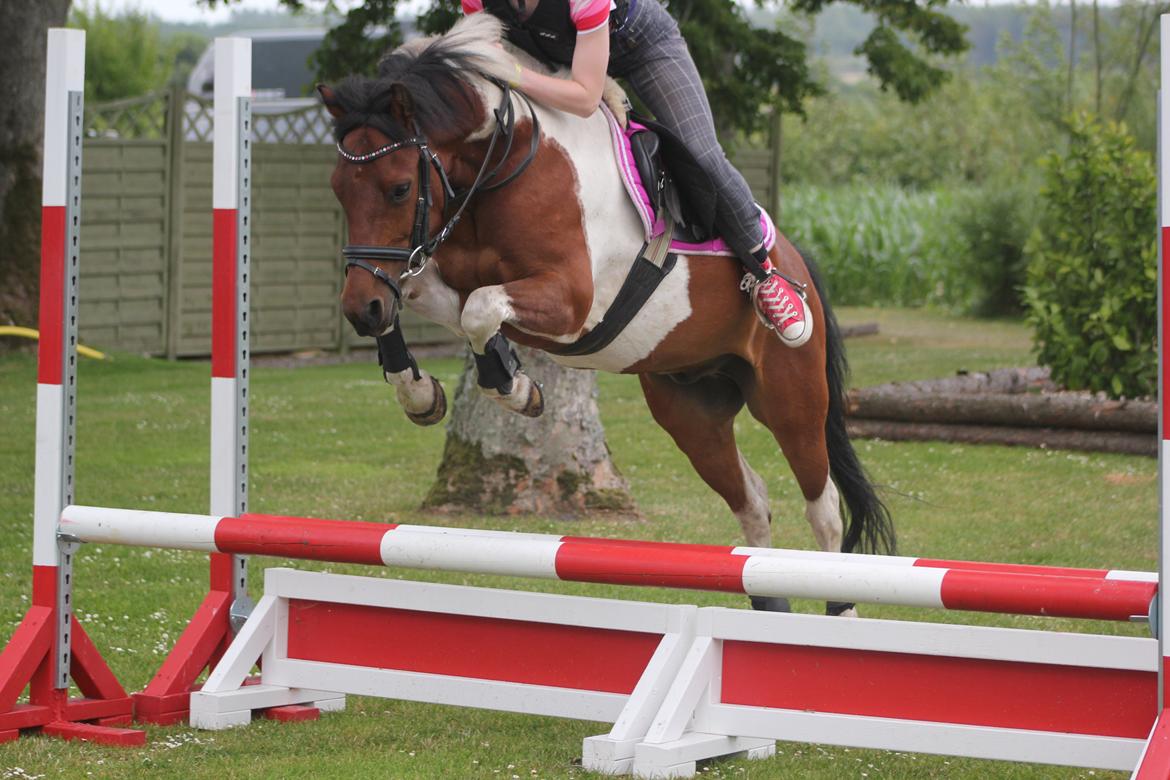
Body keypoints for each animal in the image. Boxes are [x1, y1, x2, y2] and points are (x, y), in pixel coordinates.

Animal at [315, 9, 889, 612]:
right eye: (339, 189)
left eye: (400, 189)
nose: (359, 311)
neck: (503, 165)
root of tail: (799, 264)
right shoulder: (433, 270)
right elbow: (432, 300)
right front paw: (425, 391)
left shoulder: (571, 302)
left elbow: (478, 308)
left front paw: (513, 386)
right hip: (691, 412)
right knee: (752, 501)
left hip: (790, 398)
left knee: (824, 510)